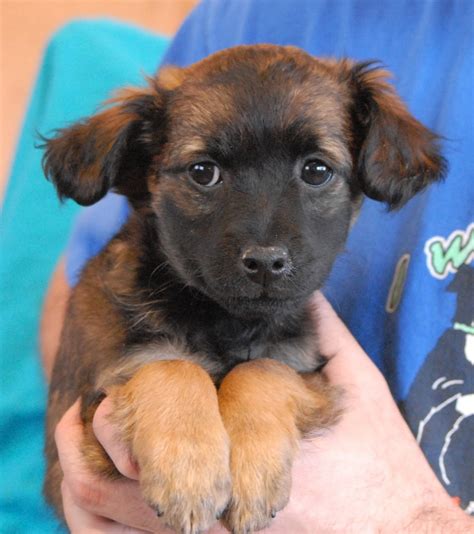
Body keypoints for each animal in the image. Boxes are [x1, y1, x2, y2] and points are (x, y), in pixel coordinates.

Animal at [42, 46, 446, 534]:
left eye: (316, 170)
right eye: (203, 172)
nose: (267, 262)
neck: (226, 322)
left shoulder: (308, 374)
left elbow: (261, 370)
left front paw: (253, 472)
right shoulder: (91, 407)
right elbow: (171, 368)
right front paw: (188, 472)